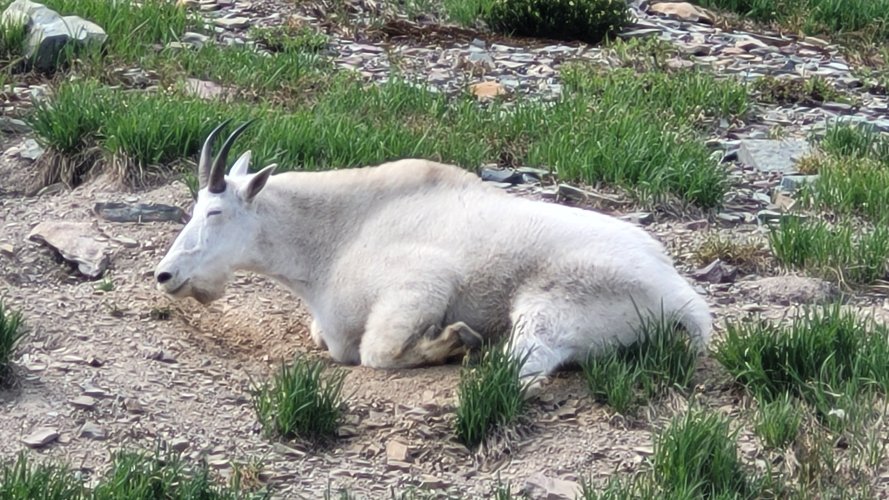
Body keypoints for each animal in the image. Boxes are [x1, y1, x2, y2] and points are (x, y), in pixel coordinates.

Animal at [153, 120, 712, 382]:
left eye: (215, 212)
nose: (165, 275)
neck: (332, 239)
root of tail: (687, 306)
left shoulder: (421, 282)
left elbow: (375, 353)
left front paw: (451, 338)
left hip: (553, 305)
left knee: (523, 363)